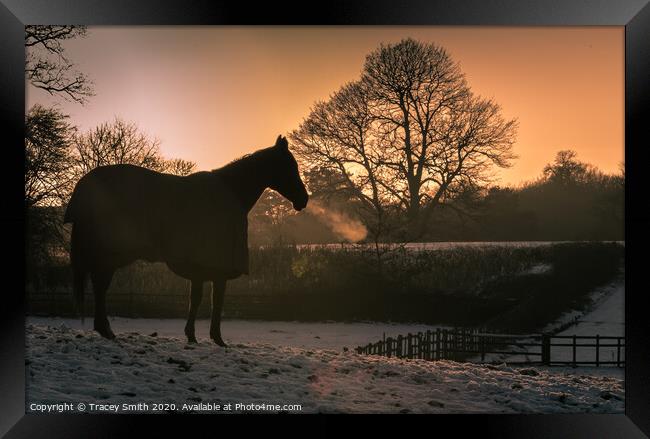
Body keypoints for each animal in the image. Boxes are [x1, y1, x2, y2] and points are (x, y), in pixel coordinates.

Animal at [64, 135, 308, 348]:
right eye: (289, 166)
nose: (304, 199)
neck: (230, 194)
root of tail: (84, 189)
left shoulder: (202, 269)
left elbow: (198, 299)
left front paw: (195, 336)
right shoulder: (216, 268)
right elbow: (213, 300)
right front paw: (213, 338)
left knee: (99, 286)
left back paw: (105, 330)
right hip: (109, 254)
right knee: (101, 286)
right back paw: (105, 330)